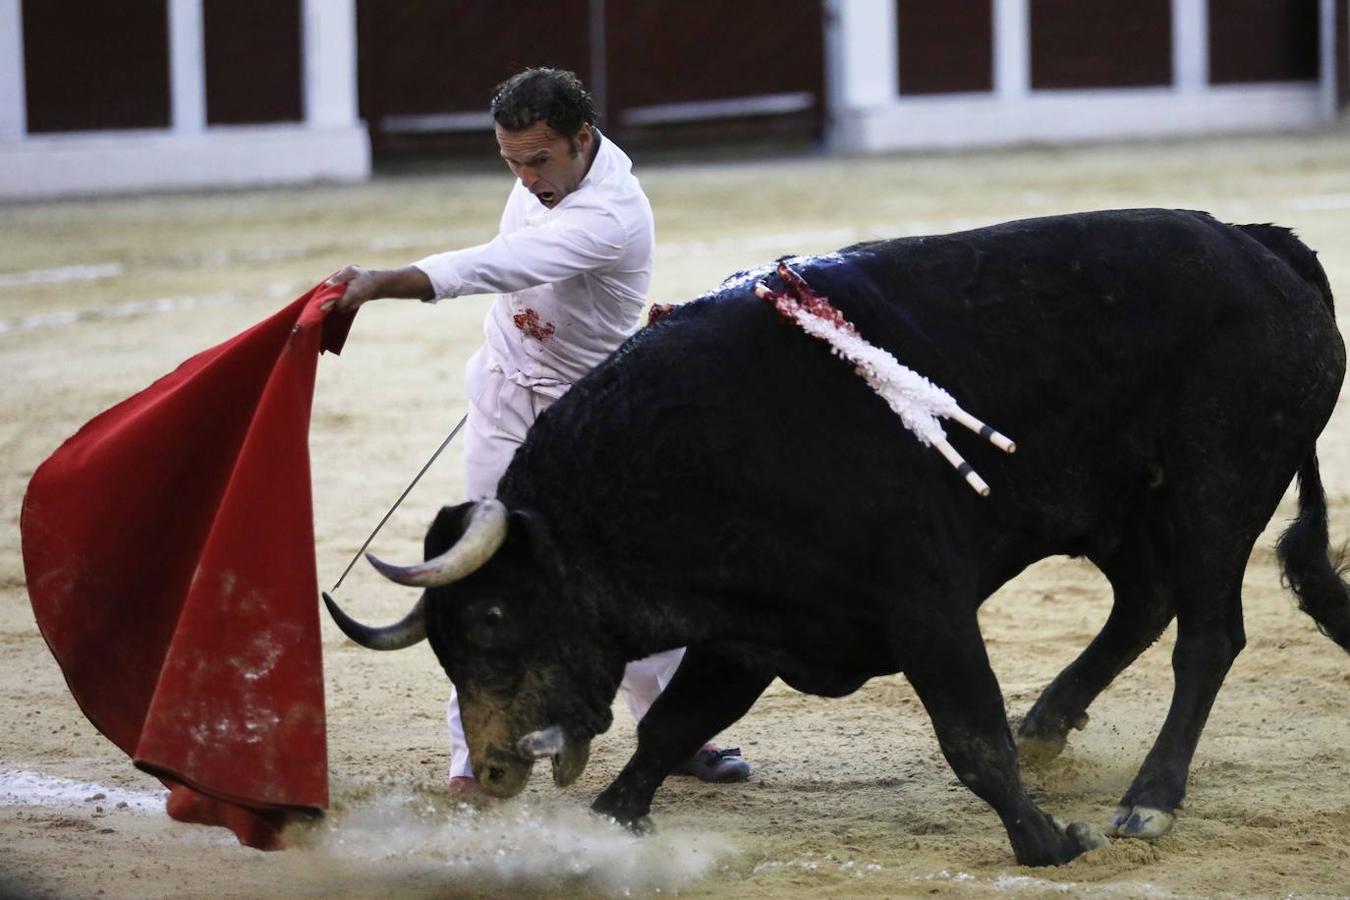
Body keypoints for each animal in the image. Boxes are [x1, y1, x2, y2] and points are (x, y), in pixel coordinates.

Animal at [326, 209, 1350, 863]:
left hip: (1215, 490)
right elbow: (670, 725)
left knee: (1207, 634)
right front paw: (613, 818)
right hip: (1111, 504)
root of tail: (1266, 249)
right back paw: (1053, 725)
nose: (497, 769)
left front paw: (1049, 843)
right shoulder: (749, 630)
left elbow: (970, 737)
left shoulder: (926, 606)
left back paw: (1148, 801)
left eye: (497, 618)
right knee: (1144, 601)